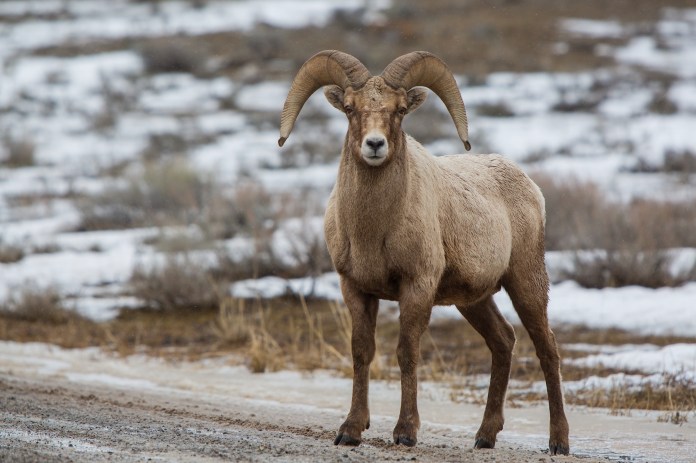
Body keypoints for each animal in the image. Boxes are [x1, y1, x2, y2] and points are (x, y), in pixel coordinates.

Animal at [278, 50, 570, 456]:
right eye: (350, 108)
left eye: (400, 110)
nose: (374, 145)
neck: (374, 229)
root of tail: (531, 187)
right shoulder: (355, 289)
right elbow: (361, 352)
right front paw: (351, 430)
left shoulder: (417, 287)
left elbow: (407, 352)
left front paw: (405, 432)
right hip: (473, 301)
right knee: (503, 342)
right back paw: (485, 436)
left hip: (526, 283)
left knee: (547, 350)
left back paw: (558, 442)